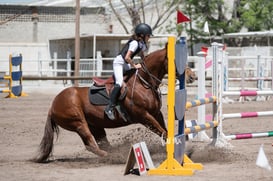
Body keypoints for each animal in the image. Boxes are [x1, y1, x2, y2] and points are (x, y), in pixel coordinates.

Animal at [35, 45, 194, 163]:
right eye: (176, 59)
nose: (192, 76)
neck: (143, 83)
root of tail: (52, 105)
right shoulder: (144, 116)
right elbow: (163, 132)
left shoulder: (156, 113)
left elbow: (165, 132)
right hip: (78, 122)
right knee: (90, 144)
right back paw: (114, 157)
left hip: (95, 126)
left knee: (102, 144)